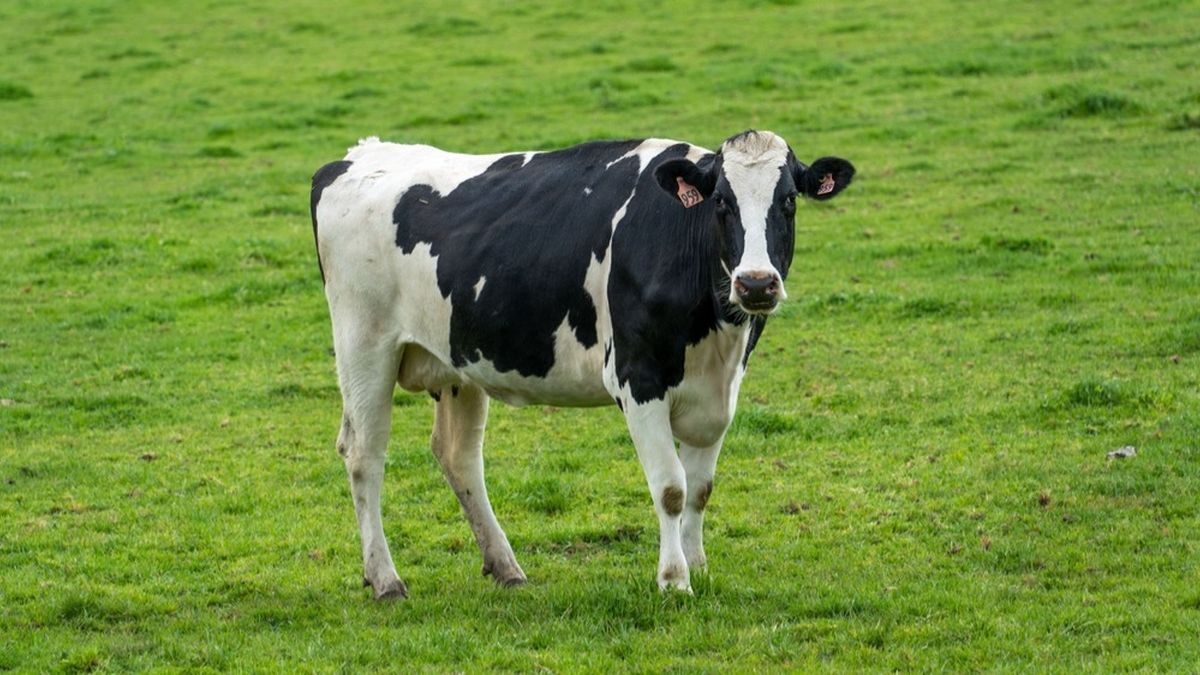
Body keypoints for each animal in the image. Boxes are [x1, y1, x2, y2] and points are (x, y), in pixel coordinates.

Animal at [310, 130, 854, 599]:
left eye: (789, 200)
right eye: (721, 201)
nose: (756, 283)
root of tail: (357, 155)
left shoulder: (720, 389)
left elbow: (700, 489)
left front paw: (698, 566)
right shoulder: (638, 379)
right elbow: (671, 488)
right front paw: (674, 580)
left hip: (456, 361)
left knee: (457, 454)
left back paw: (505, 567)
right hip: (365, 343)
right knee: (364, 455)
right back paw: (385, 579)